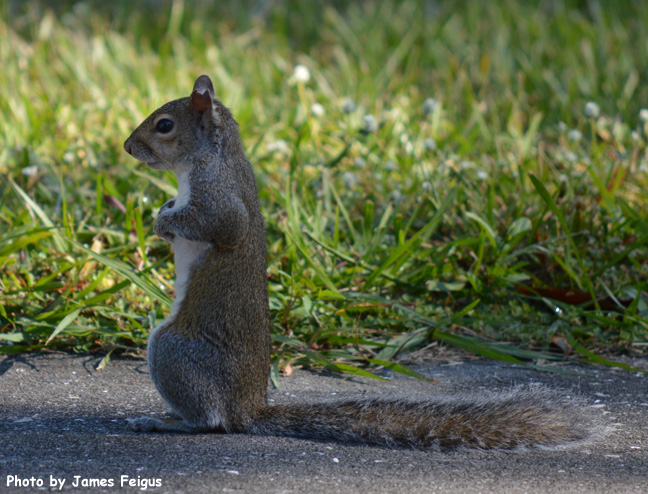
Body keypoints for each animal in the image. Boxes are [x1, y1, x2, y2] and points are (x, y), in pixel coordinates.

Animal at [123, 75, 603, 450]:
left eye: (164, 125)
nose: (128, 147)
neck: (214, 155)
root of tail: (247, 409)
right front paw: (164, 212)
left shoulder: (217, 195)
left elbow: (220, 225)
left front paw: (163, 221)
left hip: (173, 350)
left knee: (211, 421)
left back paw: (165, 421)